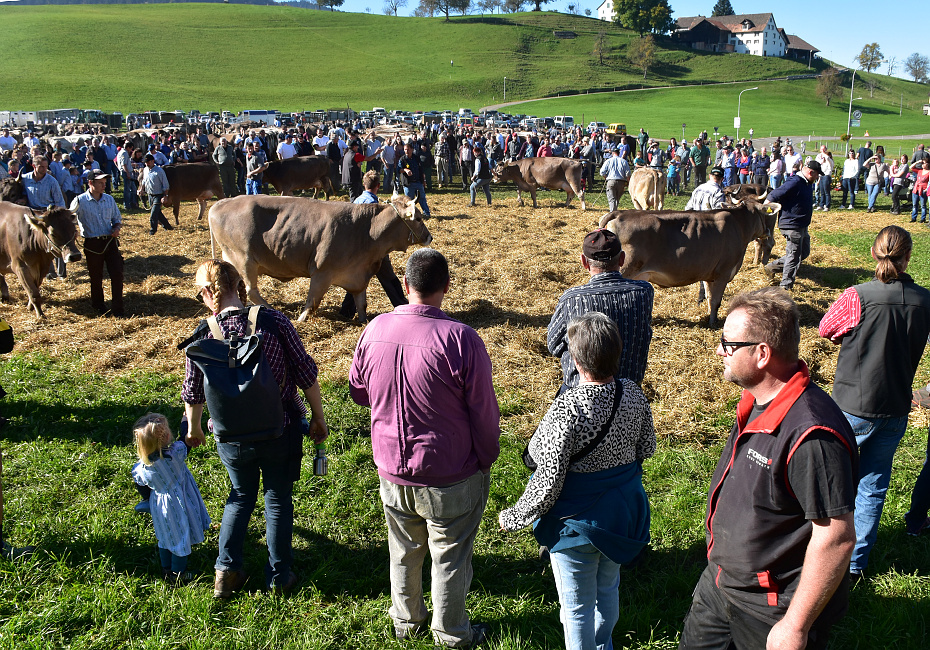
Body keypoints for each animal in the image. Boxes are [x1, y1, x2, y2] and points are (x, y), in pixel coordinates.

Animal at [207, 194, 432, 322]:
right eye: (419, 218)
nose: (429, 237)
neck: (365, 230)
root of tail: (220, 204)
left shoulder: (358, 275)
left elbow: (361, 303)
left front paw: (363, 321)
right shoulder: (322, 273)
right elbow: (312, 301)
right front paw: (301, 319)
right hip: (244, 260)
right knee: (252, 291)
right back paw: (272, 309)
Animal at [600, 197, 780, 326]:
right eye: (764, 214)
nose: (768, 231)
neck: (739, 225)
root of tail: (619, 213)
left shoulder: (710, 275)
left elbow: (709, 297)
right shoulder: (723, 273)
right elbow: (716, 300)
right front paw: (714, 323)